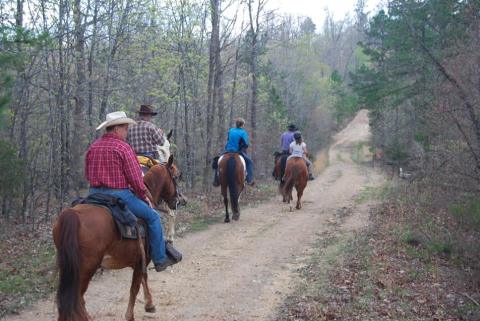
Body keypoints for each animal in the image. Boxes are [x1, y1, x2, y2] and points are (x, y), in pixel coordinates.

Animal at [53, 154, 186, 318]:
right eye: (176, 176)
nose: (179, 201)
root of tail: (71, 215)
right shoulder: (141, 259)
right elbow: (135, 288)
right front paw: (131, 315)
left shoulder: (140, 260)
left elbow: (143, 279)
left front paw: (149, 304)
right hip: (84, 269)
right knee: (77, 299)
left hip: (68, 268)